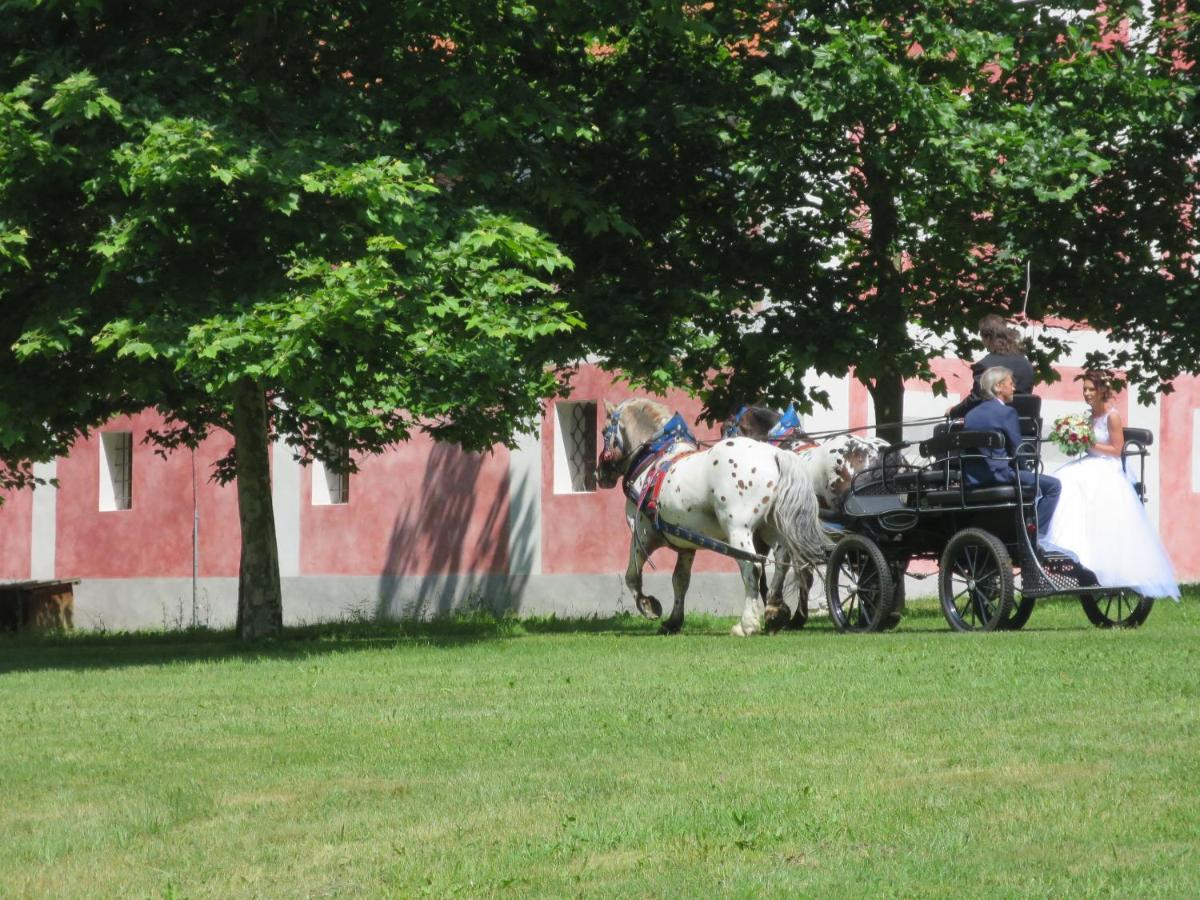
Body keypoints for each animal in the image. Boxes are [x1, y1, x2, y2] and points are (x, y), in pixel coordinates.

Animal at [595, 398, 830, 638]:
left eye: (604, 431)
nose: (599, 473)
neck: (653, 460)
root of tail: (774, 455)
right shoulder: (686, 544)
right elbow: (680, 580)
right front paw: (674, 621)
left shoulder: (641, 534)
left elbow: (632, 575)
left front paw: (648, 606)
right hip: (770, 528)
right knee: (782, 562)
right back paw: (774, 613)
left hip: (739, 529)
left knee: (752, 567)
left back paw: (747, 624)